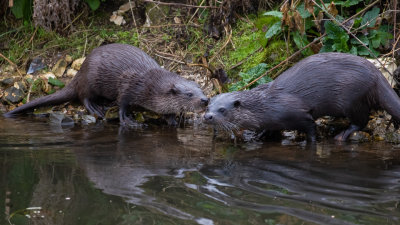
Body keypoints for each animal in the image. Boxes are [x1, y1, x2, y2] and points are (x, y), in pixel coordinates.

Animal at [3, 43, 209, 125]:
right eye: (189, 94)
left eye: (201, 89)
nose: (206, 100)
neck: (149, 85)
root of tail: (81, 70)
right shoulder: (129, 85)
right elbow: (122, 103)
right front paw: (127, 120)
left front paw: (173, 119)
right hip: (89, 80)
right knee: (83, 97)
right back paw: (97, 108)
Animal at [205, 51, 400, 142]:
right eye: (208, 106)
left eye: (222, 110)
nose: (207, 116)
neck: (266, 106)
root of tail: (375, 73)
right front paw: (260, 136)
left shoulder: (298, 114)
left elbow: (311, 129)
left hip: (352, 99)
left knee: (361, 121)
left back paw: (342, 135)